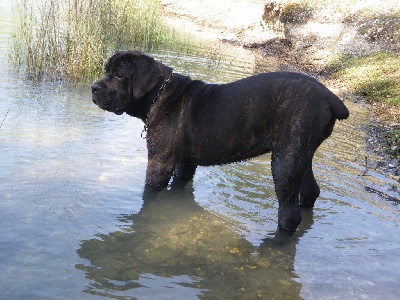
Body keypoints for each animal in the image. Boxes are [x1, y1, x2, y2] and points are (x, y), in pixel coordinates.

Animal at [92, 51, 348, 230]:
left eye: (118, 75)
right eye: (106, 71)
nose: (94, 88)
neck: (158, 94)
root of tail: (330, 97)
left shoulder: (159, 164)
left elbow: (149, 195)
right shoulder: (185, 163)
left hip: (285, 161)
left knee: (289, 213)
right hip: (300, 155)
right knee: (310, 190)